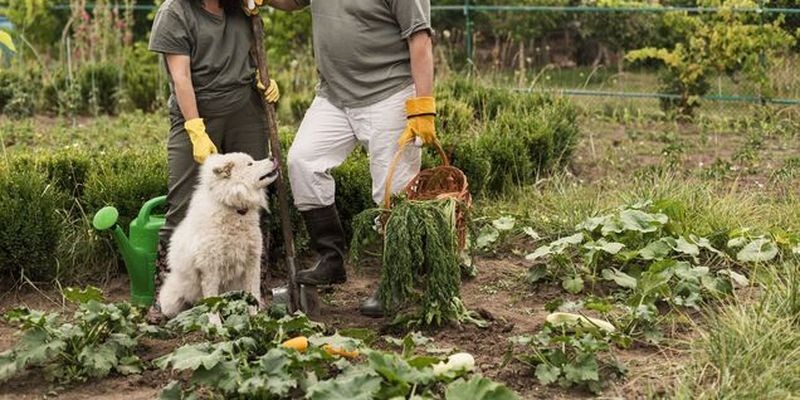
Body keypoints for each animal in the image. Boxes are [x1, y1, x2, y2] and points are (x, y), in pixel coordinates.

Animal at [158, 152, 280, 320]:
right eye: (250, 164)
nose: (273, 158)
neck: (234, 209)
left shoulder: (253, 261)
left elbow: (254, 293)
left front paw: (255, 318)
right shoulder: (210, 267)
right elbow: (212, 301)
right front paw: (215, 324)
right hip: (174, 301)